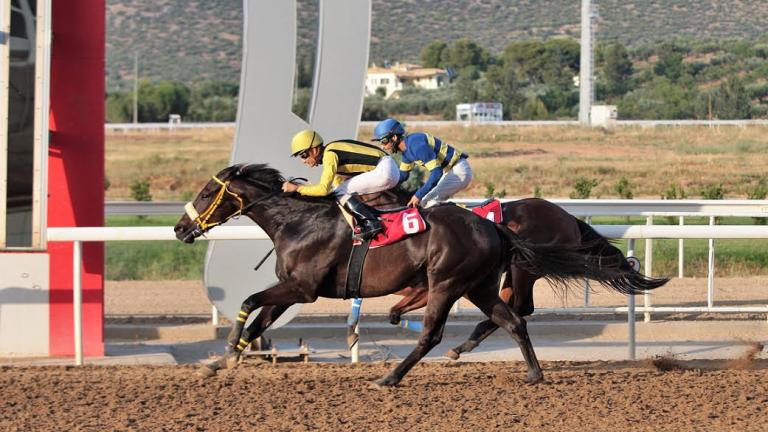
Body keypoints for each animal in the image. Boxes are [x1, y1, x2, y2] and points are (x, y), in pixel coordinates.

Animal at [176, 164, 640, 386]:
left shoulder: (302, 289)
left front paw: (226, 352)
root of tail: (492, 227)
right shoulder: (293, 290)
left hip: (455, 282)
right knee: (513, 319)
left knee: (438, 333)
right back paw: (532, 373)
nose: (180, 228)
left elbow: (249, 302)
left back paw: (391, 377)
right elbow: (259, 320)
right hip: (478, 285)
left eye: (206, 192)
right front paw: (219, 362)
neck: (298, 221)